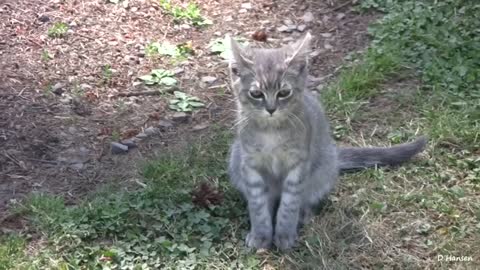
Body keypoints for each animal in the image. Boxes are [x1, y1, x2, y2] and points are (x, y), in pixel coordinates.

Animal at [227, 33, 426, 251]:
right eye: (256, 94)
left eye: (284, 93)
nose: (271, 109)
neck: (271, 132)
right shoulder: (250, 165)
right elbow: (258, 205)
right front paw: (261, 234)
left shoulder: (298, 166)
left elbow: (289, 204)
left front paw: (284, 234)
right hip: (235, 158)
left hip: (323, 170)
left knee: (307, 198)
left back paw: (304, 214)